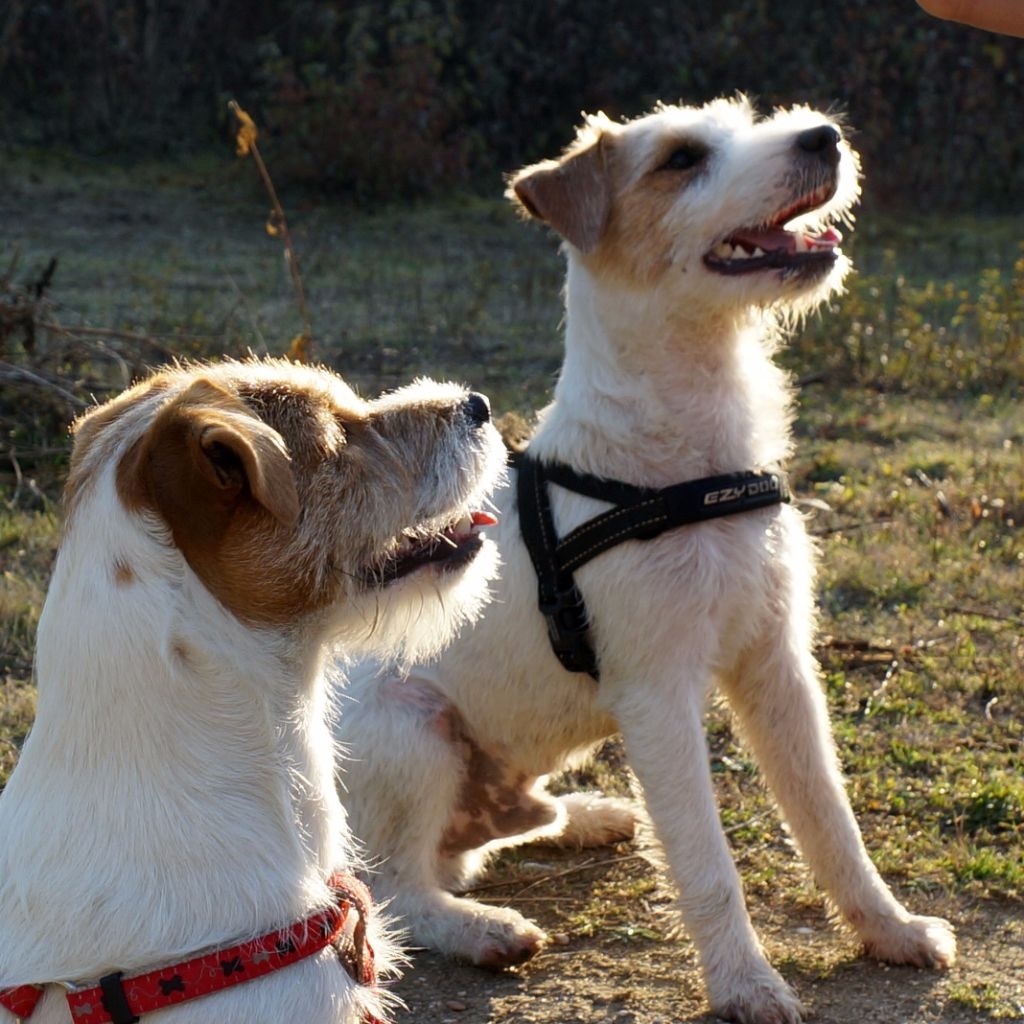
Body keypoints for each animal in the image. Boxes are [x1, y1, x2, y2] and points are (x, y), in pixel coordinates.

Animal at [337, 96, 958, 1024]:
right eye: (681, 159)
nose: (825, 137)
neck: (686, 460)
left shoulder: (778, 667)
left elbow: (830, 822)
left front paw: (890, 930)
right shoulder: (658, 694)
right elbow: (706, 861)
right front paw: (746, 983)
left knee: (488, 838)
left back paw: (587, 813)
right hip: (413, 734)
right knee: (397, 891)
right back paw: (482, 930)